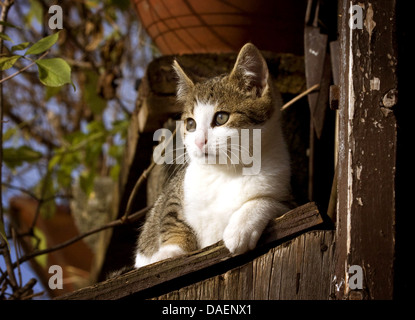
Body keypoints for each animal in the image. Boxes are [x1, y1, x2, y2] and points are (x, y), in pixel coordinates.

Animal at [133, 42, 292, 268]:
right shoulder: (177, 192)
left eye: (221, 117)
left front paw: (241, 227)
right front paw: (169, 252)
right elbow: (171, 215)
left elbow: (269, 201)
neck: (225, 171)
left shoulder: (288, 197)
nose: (200, 141)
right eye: (190, 124)